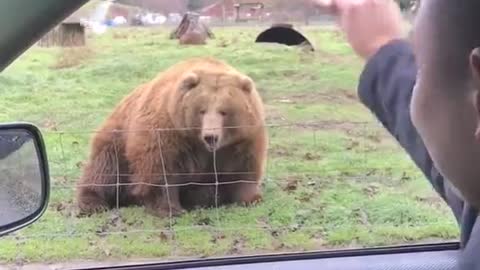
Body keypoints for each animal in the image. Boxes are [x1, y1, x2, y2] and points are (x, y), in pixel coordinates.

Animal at [77, 57, 268, 217]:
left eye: (224, 111)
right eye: (202, 110)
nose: (210, 136)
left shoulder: (243, 138)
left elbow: (244, 168)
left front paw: (251, 198)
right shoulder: (169, 131)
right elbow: (160, 169)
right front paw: (169, 209)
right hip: (117, 139)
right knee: (106, 170)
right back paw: (93, 203)